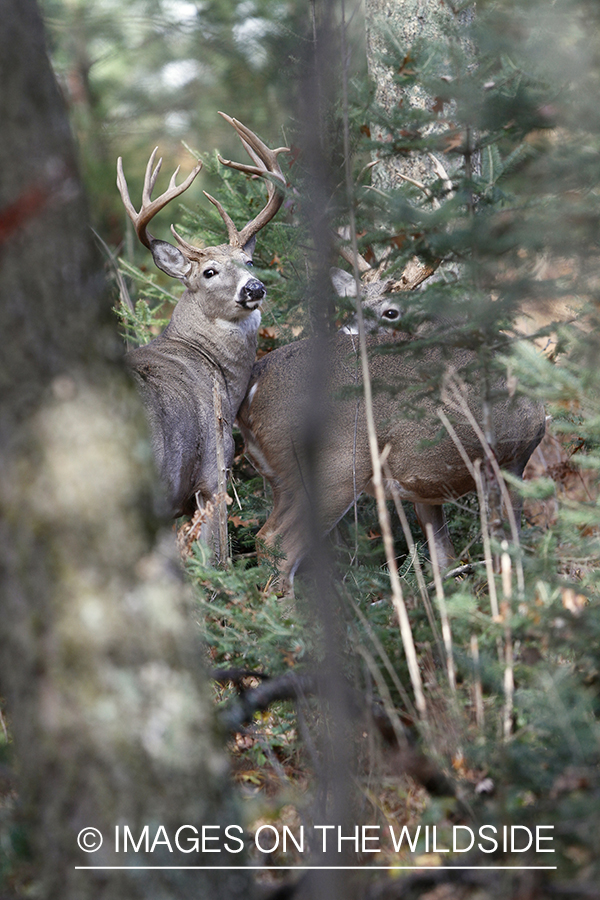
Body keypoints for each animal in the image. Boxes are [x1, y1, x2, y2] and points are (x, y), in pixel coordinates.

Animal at [237, 250, 548, 596]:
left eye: (391, 312)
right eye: (352, 305)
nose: (347, 334)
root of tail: (255, 381)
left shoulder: (425, 487)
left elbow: (445, 559)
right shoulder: (509, 458)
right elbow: (508, 547)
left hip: (280, 477)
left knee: (267, 539)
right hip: (336, 467)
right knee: (277, 545)